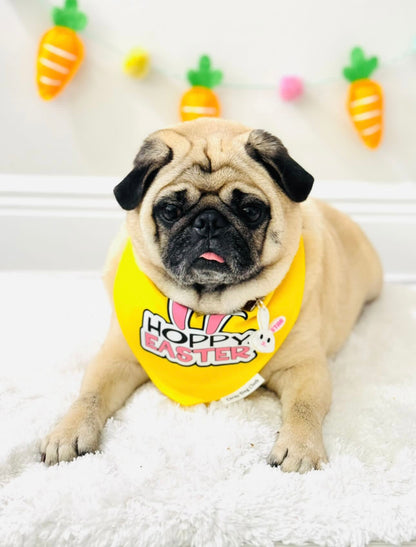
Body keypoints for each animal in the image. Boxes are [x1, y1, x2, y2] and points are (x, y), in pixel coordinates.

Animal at [40, 117, 382, 474]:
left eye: (250, 210)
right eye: (170, 210)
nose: (208, 221)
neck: (206, 310)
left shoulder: (305, 368)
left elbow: (304, 407)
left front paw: (300, 448)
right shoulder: (115, 358)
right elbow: (88, 396)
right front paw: (68, 431)